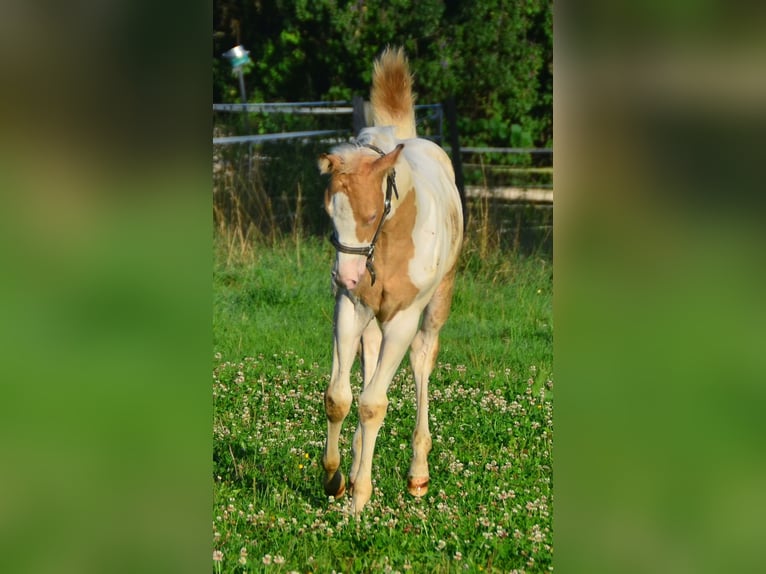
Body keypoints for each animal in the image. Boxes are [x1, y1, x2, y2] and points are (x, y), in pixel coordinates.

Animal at [316, 48, 462, 516]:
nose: (344, 275)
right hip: (370, 322)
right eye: (329, 211)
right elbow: (340, 398)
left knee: (421, 362)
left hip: (434, 308)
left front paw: (359, 498)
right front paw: (335, 480)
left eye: (369, 215)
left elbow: (374, 404)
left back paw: (417, 474)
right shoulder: (350, 308)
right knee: (368, 364)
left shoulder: (403, 319)